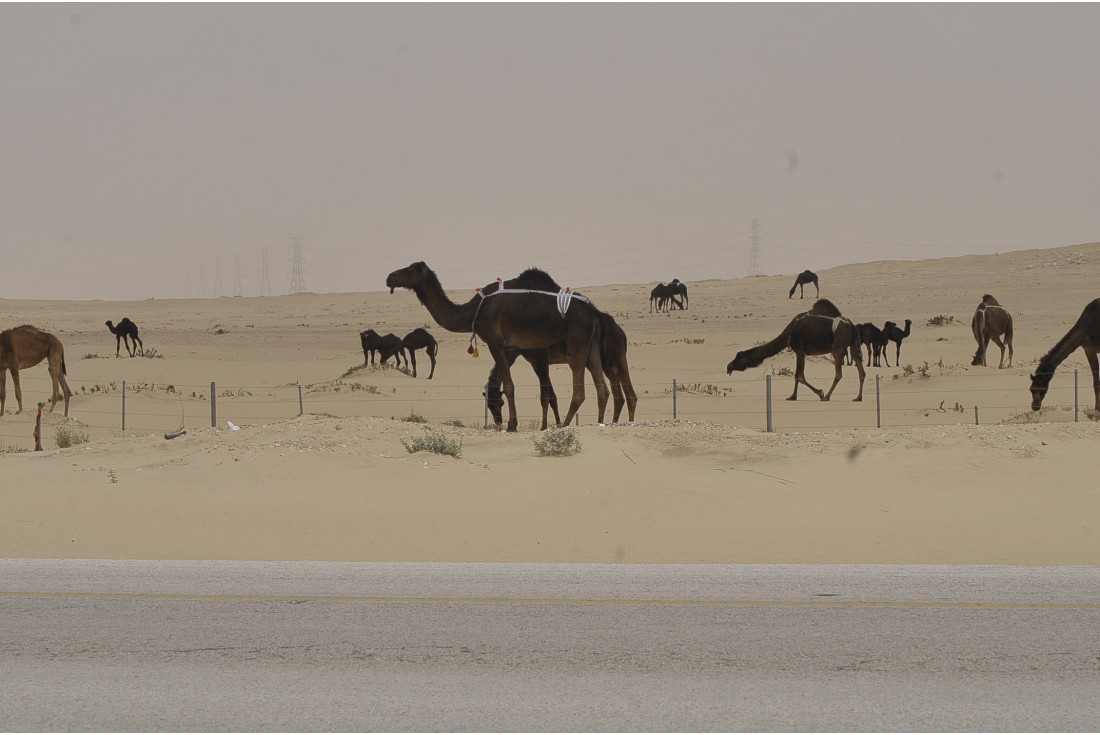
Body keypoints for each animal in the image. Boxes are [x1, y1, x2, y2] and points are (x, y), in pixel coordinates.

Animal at [386, 262, 606, 432]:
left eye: (408, 270)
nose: (389, 277)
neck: (474, 310)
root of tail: (593, 310)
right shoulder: (512, 349)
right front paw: (512, 424)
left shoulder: (496, 342)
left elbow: (510, 386)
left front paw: (512, 426)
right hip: (592, 349)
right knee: (601, 388)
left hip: (577, 344)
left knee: (579, 393)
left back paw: (565, 426)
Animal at [726, 299, 865, 401]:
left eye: (739, 356)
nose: (728, 367)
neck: (789, 333)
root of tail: (851, 325)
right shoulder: (801, 351)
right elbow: (797, 376)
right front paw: (793, 396)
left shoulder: (800, 349)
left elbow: (799, 376)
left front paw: (819, 392)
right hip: (853, 345)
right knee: (861, 370)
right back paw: (857, 397)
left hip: (838, 347)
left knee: (838, 373)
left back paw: (826, 396)